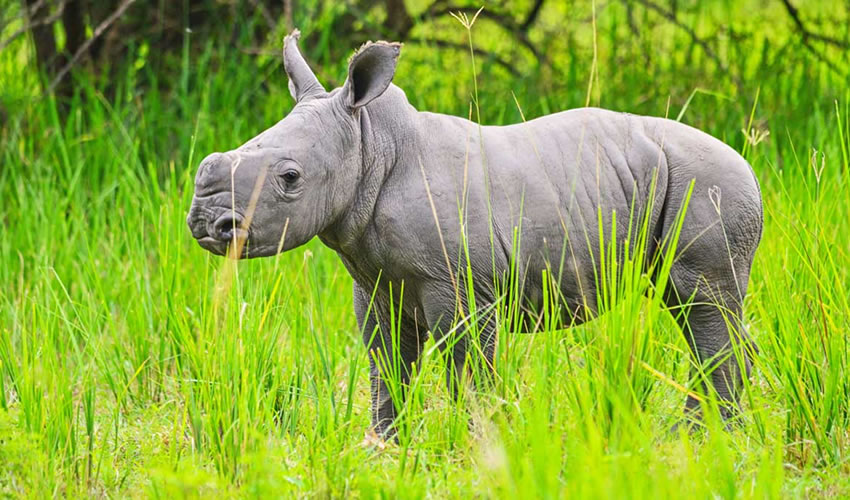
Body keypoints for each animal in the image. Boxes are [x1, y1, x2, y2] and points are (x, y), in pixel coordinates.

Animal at [187, 32, 760, 438]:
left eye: (290, 178)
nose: (205, 222)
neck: (370, 145)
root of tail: (752, 169)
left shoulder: (457, 283)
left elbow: (466, 367)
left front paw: (476, 445)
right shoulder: (375, 283)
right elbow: (385, 365)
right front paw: (382, 448)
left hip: (710, 185)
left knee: (701, 304)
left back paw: (695, 438)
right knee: (710, 311)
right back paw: (718, 432)